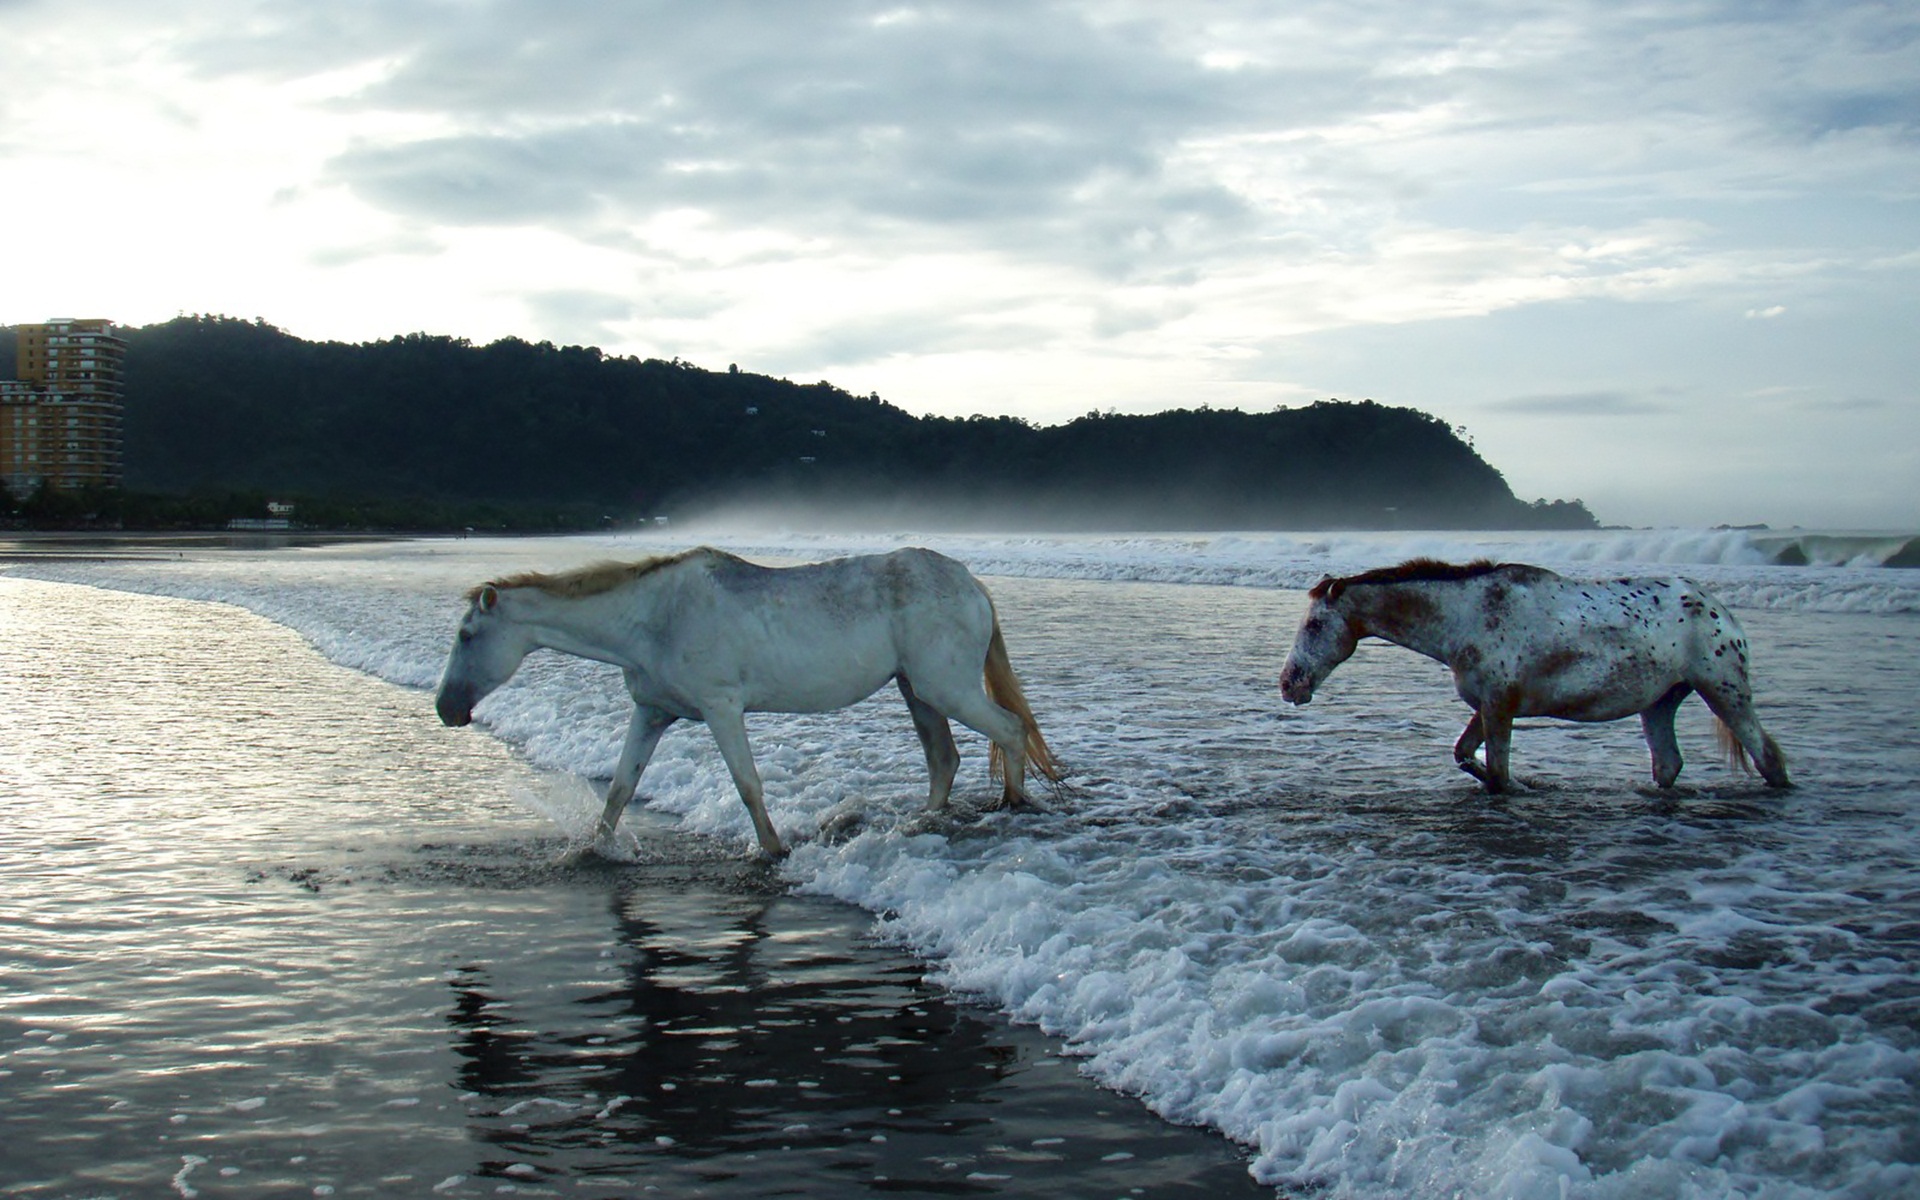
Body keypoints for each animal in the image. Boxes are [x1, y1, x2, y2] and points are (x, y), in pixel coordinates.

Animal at [437, 549, 1067, 856]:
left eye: (467, 635)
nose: (447, 710)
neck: (653, 617)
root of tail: (971, 582)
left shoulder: (721, 709)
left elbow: (747, 785)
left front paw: (771, 850)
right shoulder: (651, 714)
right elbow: (619, 789)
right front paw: (595, 851)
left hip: (945, 687)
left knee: (1009, 730)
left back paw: (1013, 806)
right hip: (917, 690)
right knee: (944, 758)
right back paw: (924, 821)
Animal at [1282, 556, 1789, 791]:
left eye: (1315, 625)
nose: (1289, 684)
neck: (1466, 616)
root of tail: (1720, 608)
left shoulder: (1499, 708)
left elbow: (1497, 773)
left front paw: (1516, 786)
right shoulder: (1487, 706)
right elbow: (1465, 755)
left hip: (1724, 691)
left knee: (1767, 757)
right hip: (1660, 703)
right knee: (1668, 764)